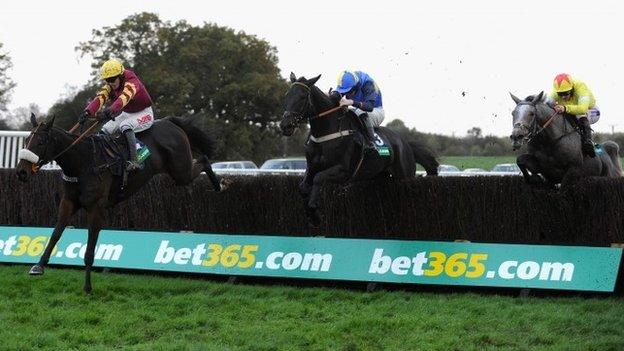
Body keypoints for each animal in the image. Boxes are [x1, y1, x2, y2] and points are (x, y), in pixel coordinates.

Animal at [15, 115, 221, 294]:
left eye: (41, 142)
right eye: (26, 141)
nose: (21, 172)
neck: (82, 161)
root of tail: (169, 122)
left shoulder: (96, 207)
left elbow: (90, 248)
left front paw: (87, 287)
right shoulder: (68, 202)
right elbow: (55, 233)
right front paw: (38, 266)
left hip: (181, 171)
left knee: (203, 160)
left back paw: (219, 184)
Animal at [280, 73, 436, 227]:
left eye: (302, 97)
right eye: (287, 95)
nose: (285, 125)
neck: (326, 133)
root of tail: (404, 142)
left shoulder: (343, 170)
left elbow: (318, 178)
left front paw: (315, 213)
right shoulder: (312, 166)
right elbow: (302, 186)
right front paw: (311, 214)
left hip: (405, 175)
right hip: (380, 176)